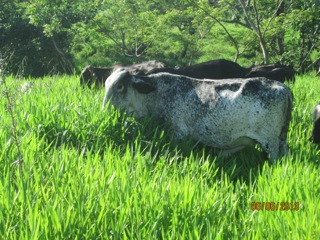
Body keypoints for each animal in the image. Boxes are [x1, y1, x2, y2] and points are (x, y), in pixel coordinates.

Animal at [102, 70, 292, 162]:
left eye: (119, 87)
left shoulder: (179, 133)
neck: (155, 94)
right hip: (281, 139)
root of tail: (284, 88)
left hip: (270, 141)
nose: (104, 111)